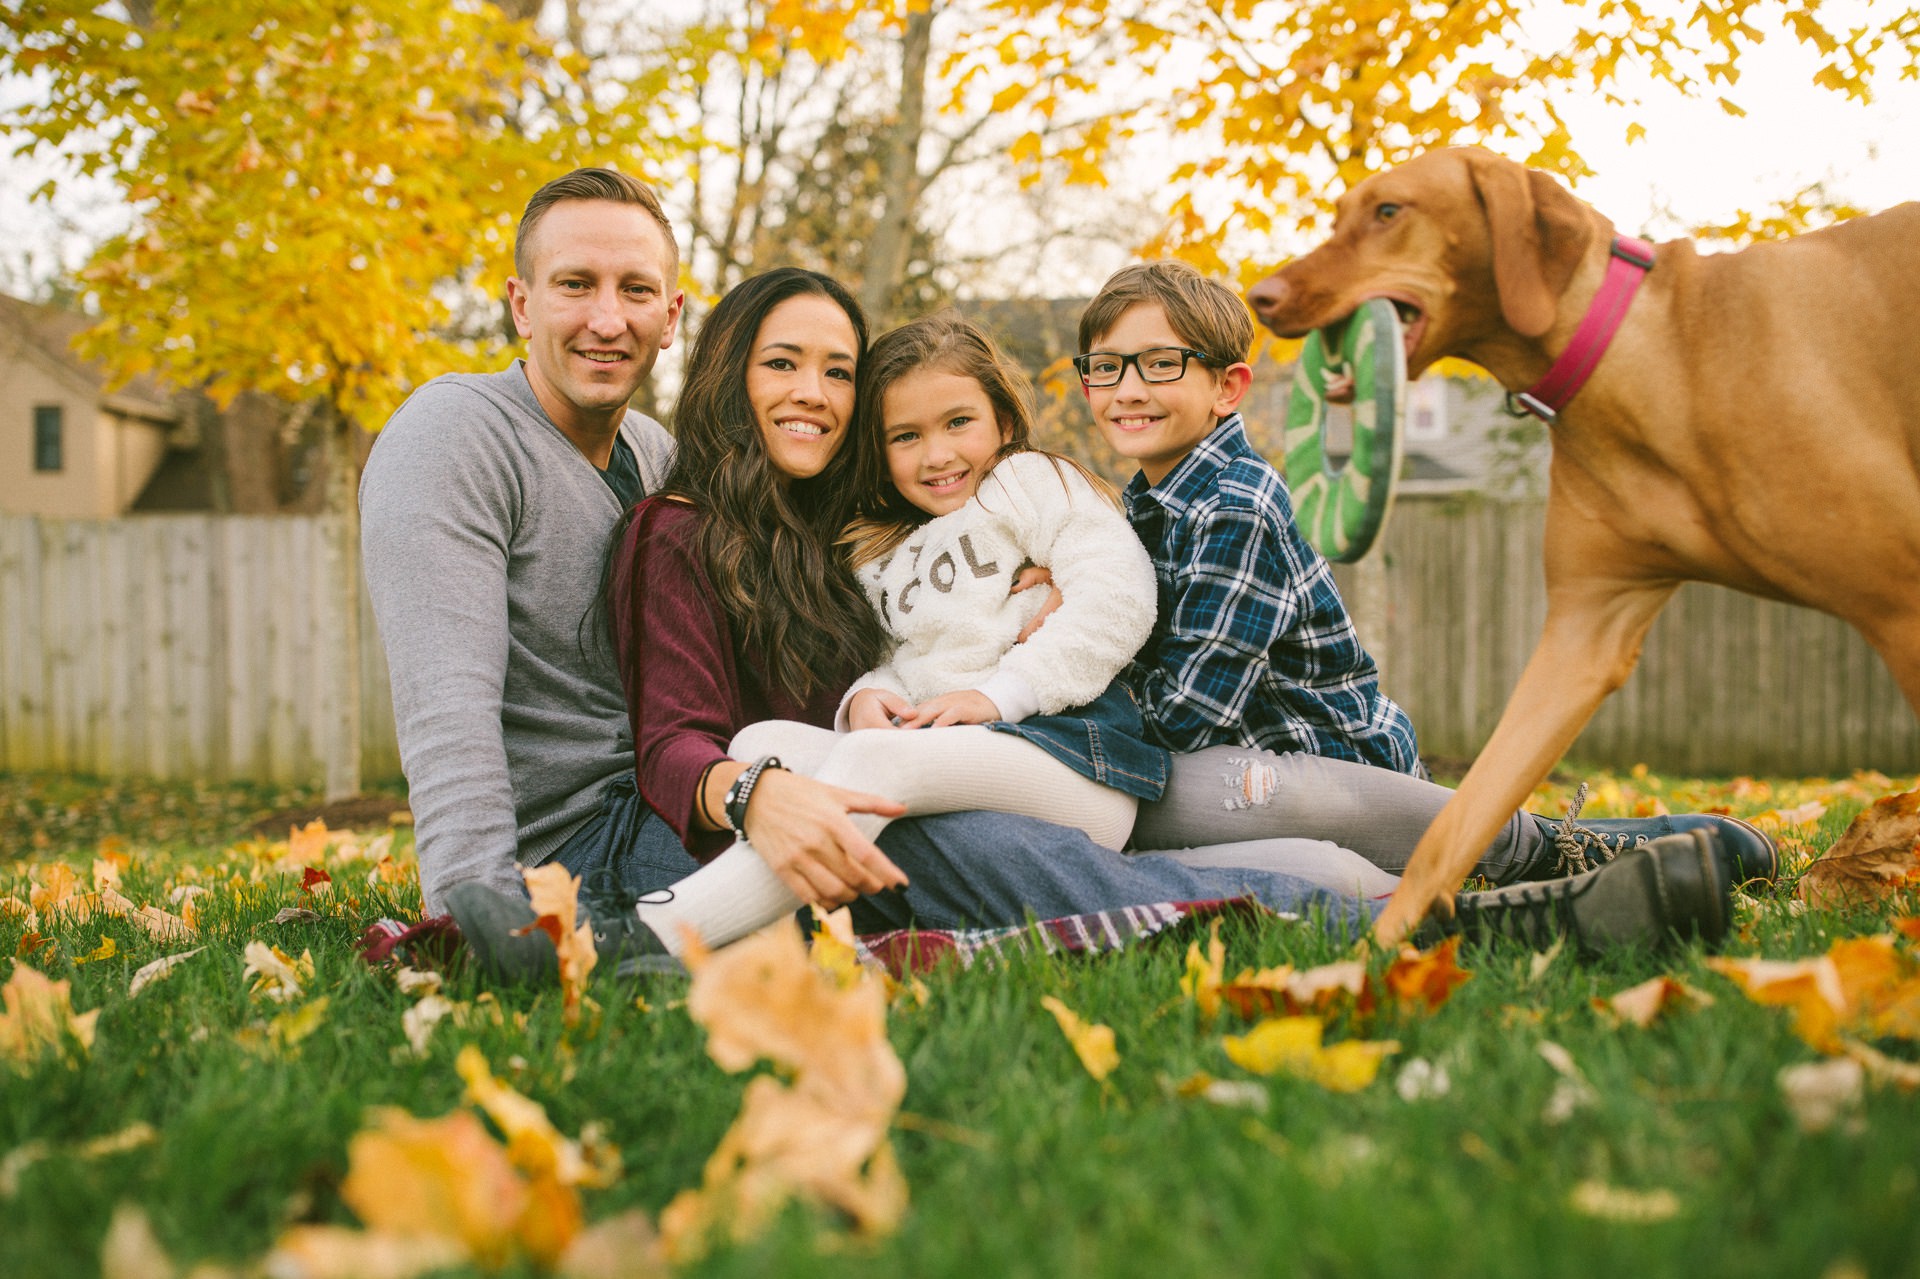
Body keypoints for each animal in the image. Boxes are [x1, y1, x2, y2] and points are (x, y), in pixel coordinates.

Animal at [1244, 146, 1920, 937]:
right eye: (1338, 216)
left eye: (1388, 212)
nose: (1260, 297)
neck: (1658, 355)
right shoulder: (1584, 631)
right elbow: (1458, 819)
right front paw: (1382, 948)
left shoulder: (1898, 600)